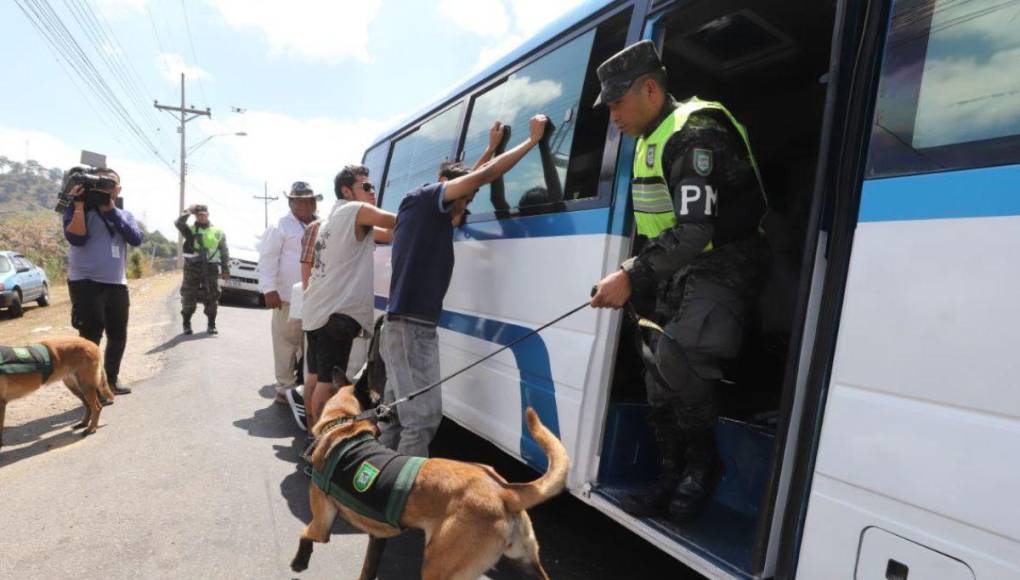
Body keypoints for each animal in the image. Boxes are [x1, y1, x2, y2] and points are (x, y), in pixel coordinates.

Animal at [291, 373, 571, 574]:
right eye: (379, 399)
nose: (390, 412)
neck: (344, 425)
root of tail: (504, 491)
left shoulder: (321, 523)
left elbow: (305, 534)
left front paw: (299, 562)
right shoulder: (377, 537)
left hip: (439, 566)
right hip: (526, 561)